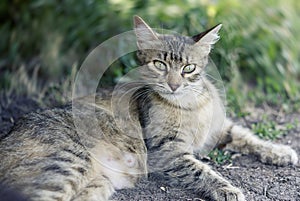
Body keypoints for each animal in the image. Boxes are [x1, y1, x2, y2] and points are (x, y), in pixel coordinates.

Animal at [0, 15, 298, 201]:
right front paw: (226, 188)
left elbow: (248, 136)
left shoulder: (219, 129)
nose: (174, 85)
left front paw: (279, 151)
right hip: (66, 164)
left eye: (188, 68)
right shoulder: (166, 151)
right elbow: (201, 170)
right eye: (159, 64)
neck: (189, 104)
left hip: (95, 185)